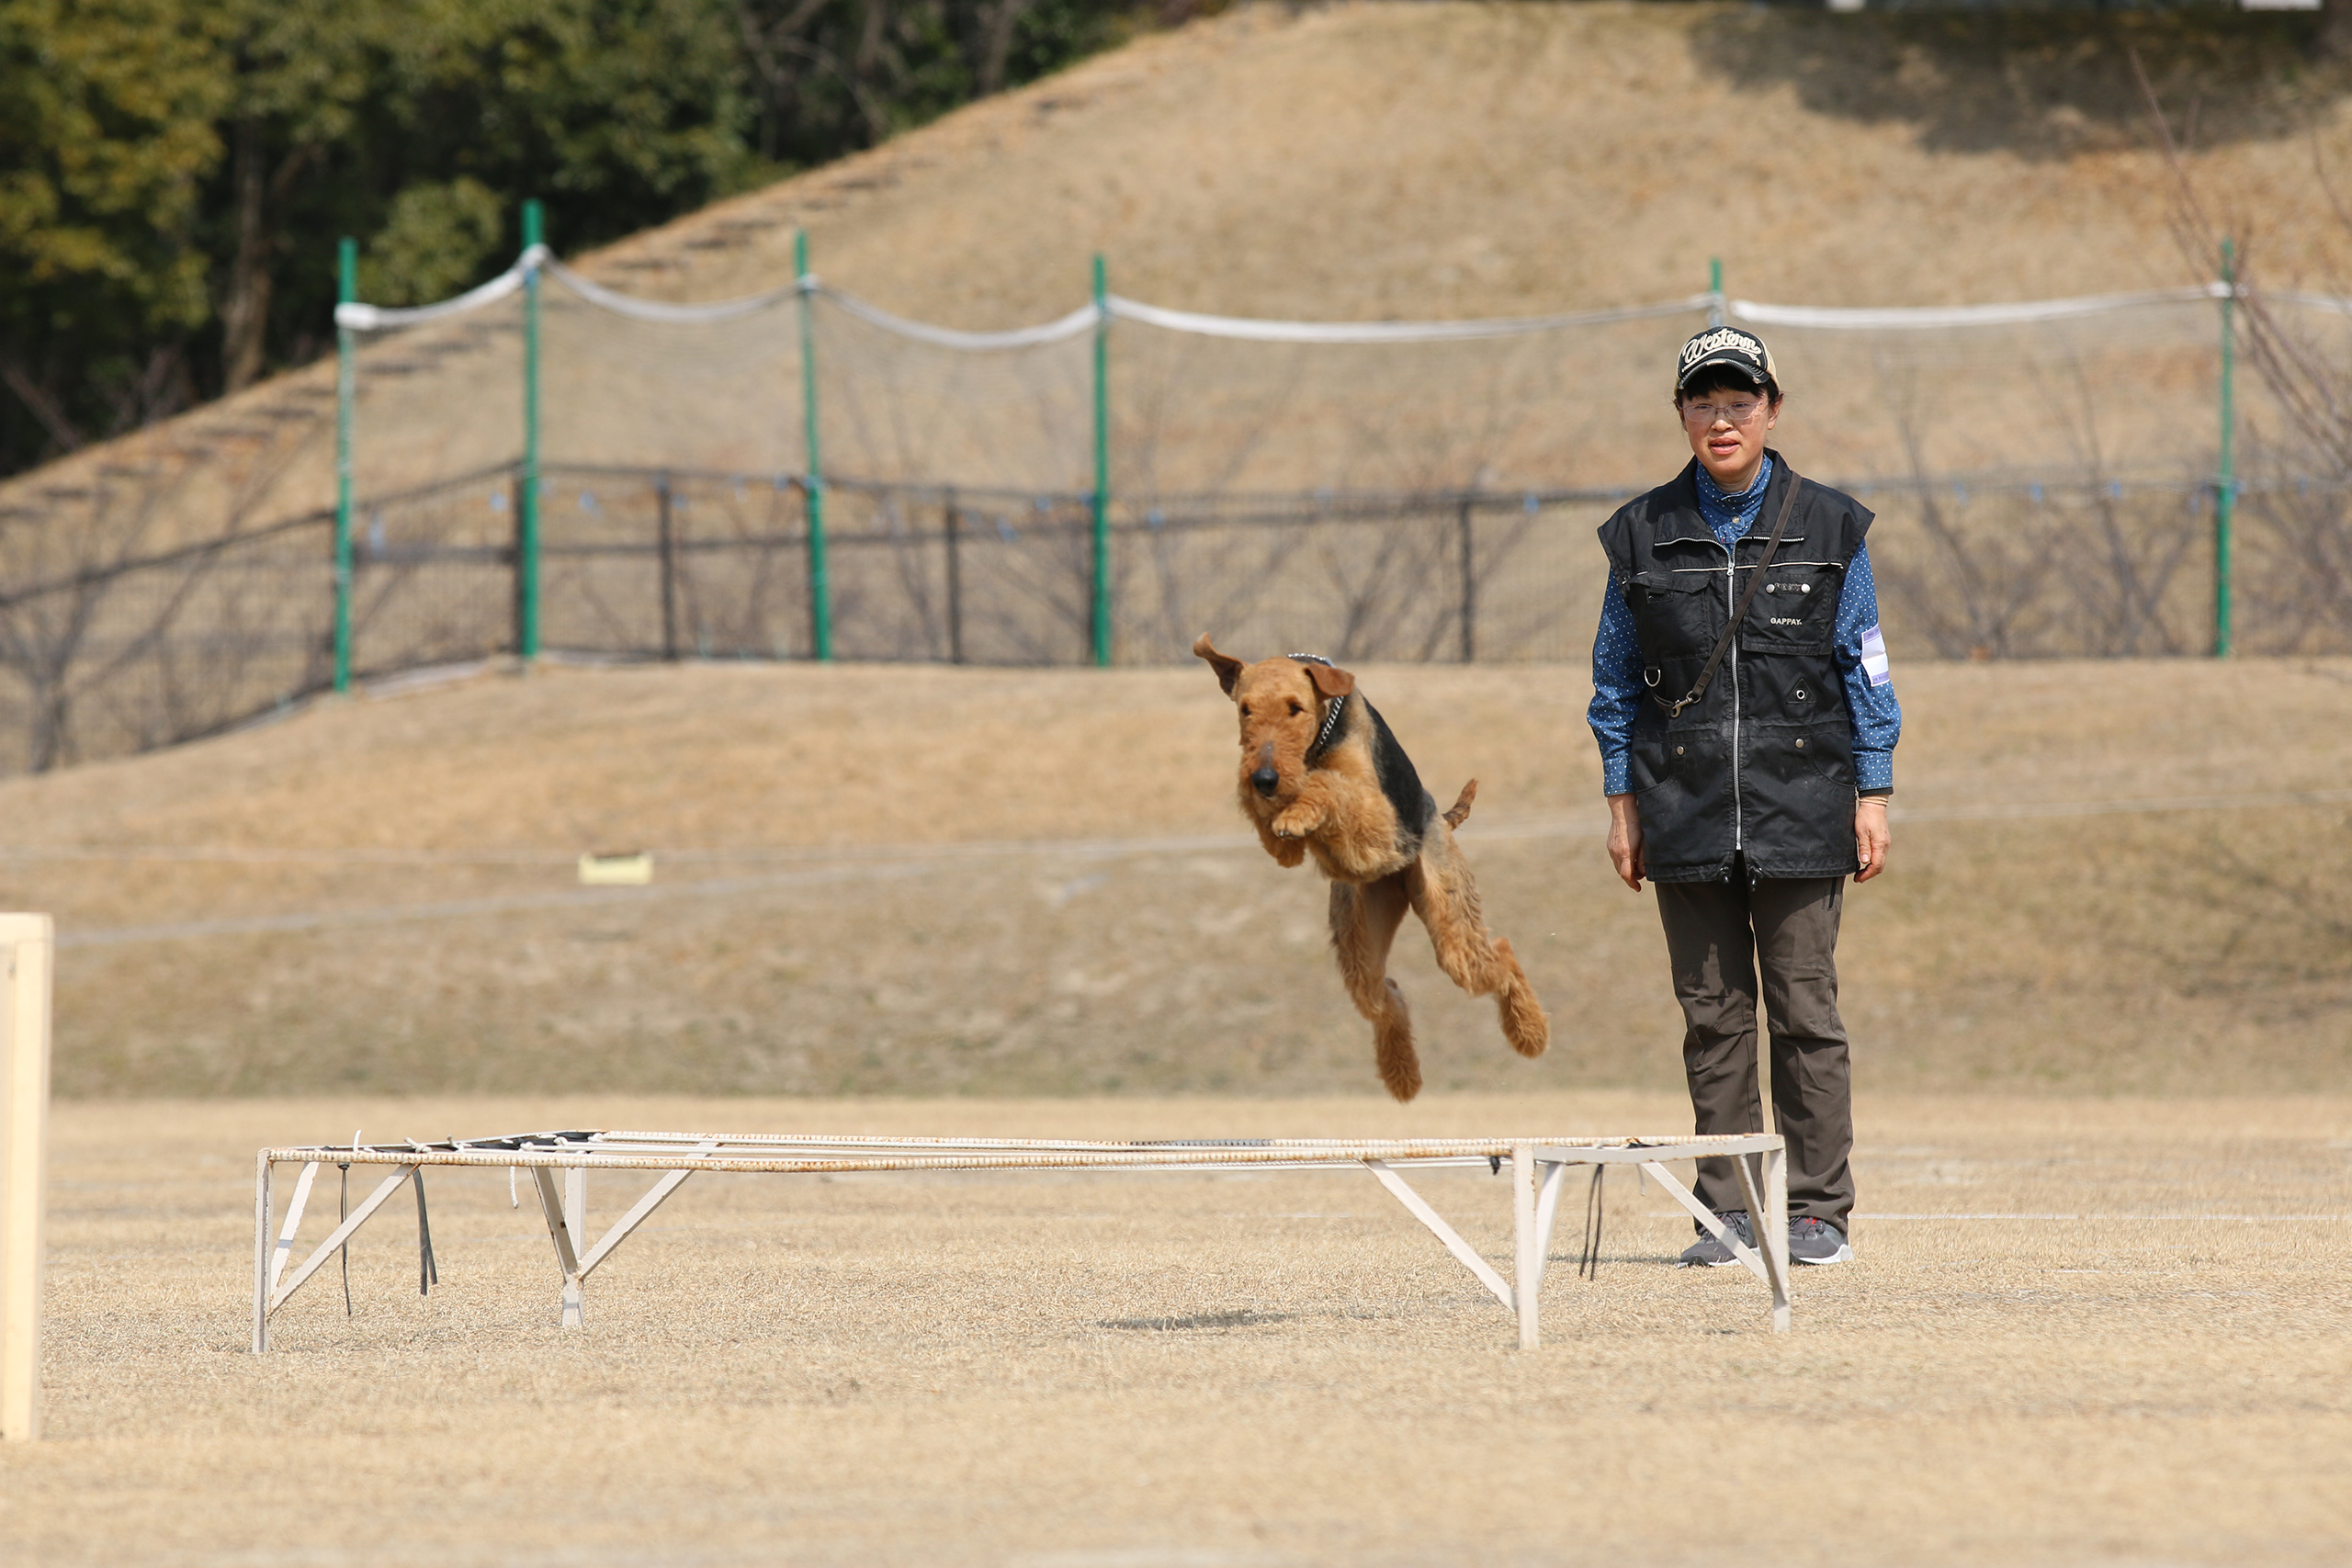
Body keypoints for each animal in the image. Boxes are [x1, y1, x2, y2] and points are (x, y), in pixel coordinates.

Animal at [1194, 639, 1543, 1104]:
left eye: (1294, 708)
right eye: (1245, 709)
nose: (1265, 778)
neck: (1317, 742)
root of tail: (1441, 821)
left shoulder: (1378, 814)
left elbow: (1329, 785)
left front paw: (1297, 808)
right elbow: (1278, 824)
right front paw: (1279, 814)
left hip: (1447, 919)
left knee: (1498, 952)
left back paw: (1531, 1034)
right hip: (1360, 942)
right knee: (1386, 996)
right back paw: (1403, 1078)